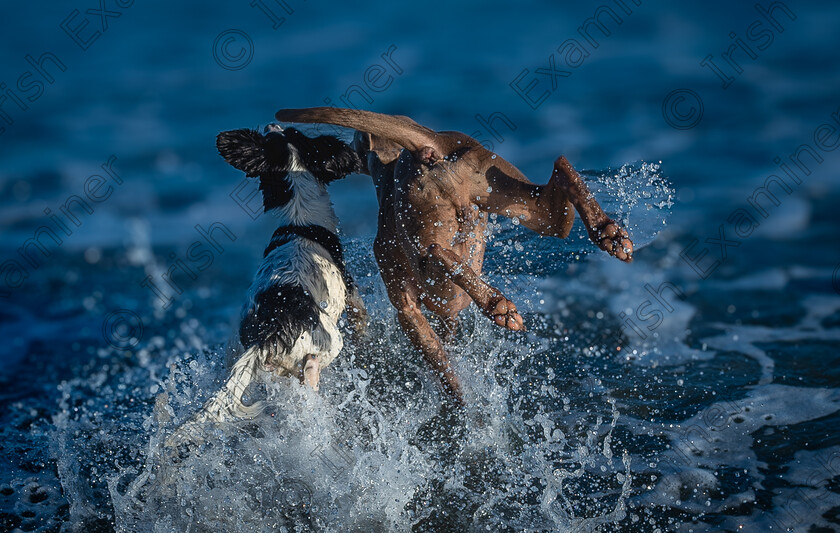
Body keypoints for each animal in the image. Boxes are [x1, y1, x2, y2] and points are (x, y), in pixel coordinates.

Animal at [179, 124, 366, 432]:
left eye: (288, 132)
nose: (272, 124)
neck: (298, 218)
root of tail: (272, 332)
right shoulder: (350, 289)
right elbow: (362, 316)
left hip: (241, 351)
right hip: (329, 343)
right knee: (312, 369)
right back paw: (313, 380)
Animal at [272, 109, 632, 408]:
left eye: (358, 142)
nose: (346, 153)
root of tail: (427, 149)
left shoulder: (408, 312)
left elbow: (442, 367)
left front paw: (457, 402)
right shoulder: (446, 314)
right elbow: (448, 347)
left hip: (432, 256)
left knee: (436, 253)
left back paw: (498, 305)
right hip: (525, 204)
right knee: (561, 168)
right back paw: (608, 232)